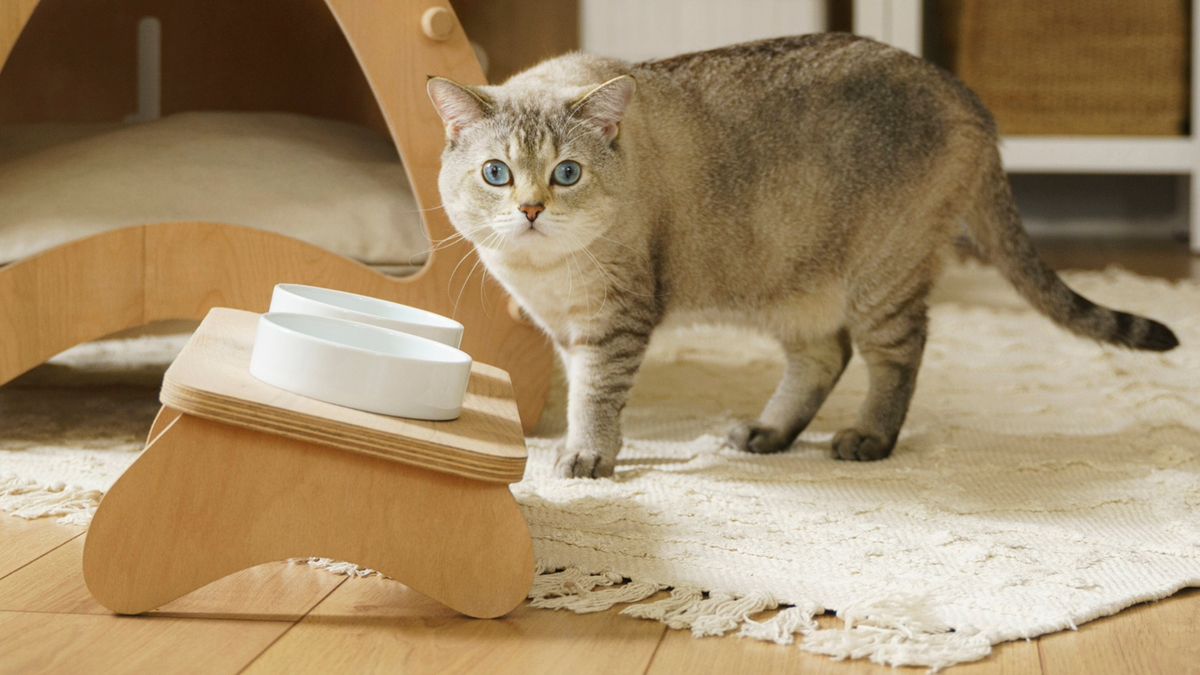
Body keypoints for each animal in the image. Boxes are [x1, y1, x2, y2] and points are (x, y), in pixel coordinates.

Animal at [427, 34, 1176, 478]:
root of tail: (965, 94)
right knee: (826, 356)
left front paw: (585, 457)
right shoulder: (564, 329)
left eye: (567, 174)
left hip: (881, 283)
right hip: (789, 285)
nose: (531, 210)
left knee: (897, 358)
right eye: (497, 174)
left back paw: (867, 440)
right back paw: (767, 433)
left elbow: (595, 398)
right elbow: (581, 390)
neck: (542, 275)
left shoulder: (612, 323)